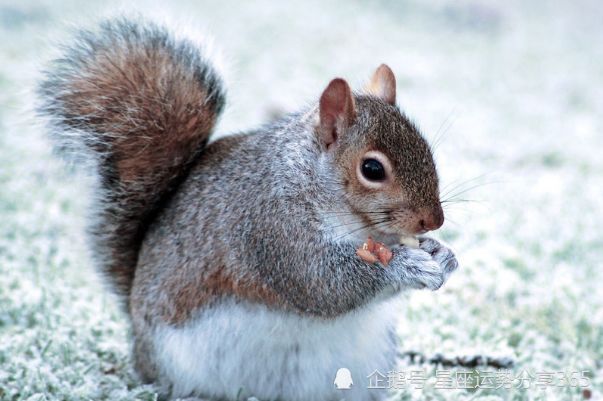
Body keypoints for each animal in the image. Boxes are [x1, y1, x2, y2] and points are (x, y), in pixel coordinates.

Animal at [39, 18, 458, 400]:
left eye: (426, 148)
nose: (434, 220)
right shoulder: (270, 228)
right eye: (372, 169)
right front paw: (408, 265)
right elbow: (324, 285)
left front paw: (441, 254)